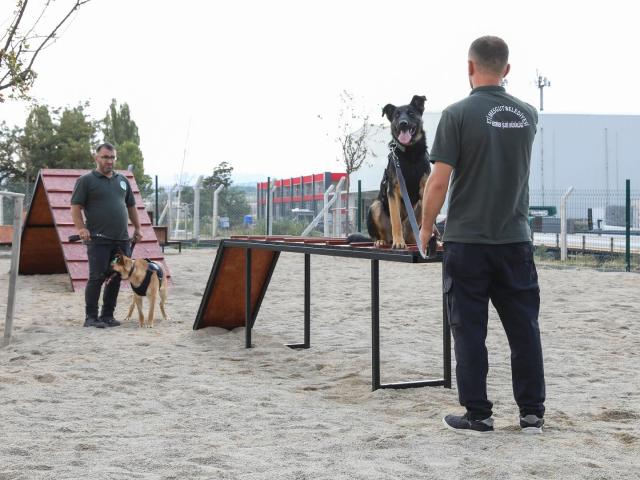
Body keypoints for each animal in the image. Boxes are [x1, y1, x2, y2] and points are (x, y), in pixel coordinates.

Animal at [350, 93, 436, 251]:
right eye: (396, 115)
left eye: (410, 113)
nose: (403, 123)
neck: (410, 153)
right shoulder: (393, 191)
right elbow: (396, 220)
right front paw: (398, 242)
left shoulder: (425, 191)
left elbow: (431, 222)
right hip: (375, 206)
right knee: (380, 234)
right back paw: (382, 241)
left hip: (419, 208)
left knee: (413, 233)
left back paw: (415, 241)